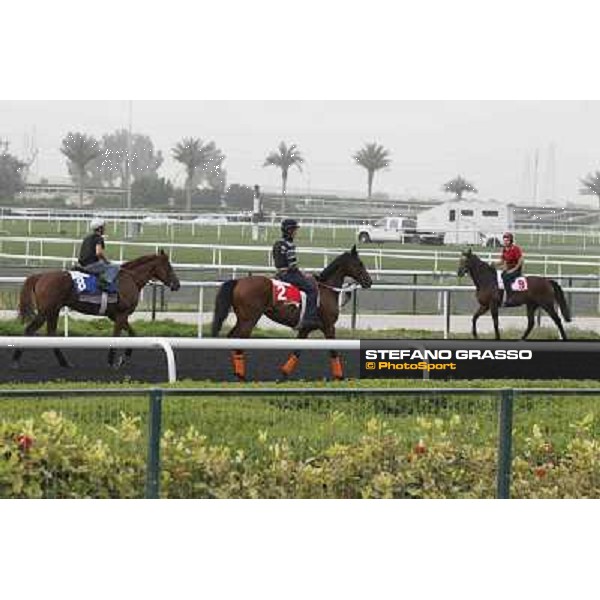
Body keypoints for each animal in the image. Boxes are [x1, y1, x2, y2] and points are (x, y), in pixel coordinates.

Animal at [11, 250, 180, 370]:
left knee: (51, 334)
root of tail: (39, 276)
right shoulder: (121, 315)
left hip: (54, 310)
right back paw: (15, 360)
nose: (177, 284)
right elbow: (117, 337)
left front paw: (124, 357)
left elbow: (133, 334)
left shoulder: (117, 316)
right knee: (29, 330)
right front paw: (113, 361)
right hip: (46, 311)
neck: (130, 278)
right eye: (169, 266)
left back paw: (65, 362)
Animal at [211, 245, 370, 380]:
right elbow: (333, 350)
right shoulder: (329, 326)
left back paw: (237, 373)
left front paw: (284, 373)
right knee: (238, 341)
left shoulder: (305, 329)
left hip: (242, 319)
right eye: (360, 263)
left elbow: (297, 350)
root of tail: (238, 282)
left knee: (231, 338)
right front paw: (340, 377)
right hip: (249, 320)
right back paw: (241, 376)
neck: (326, 290)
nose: (369, 281)